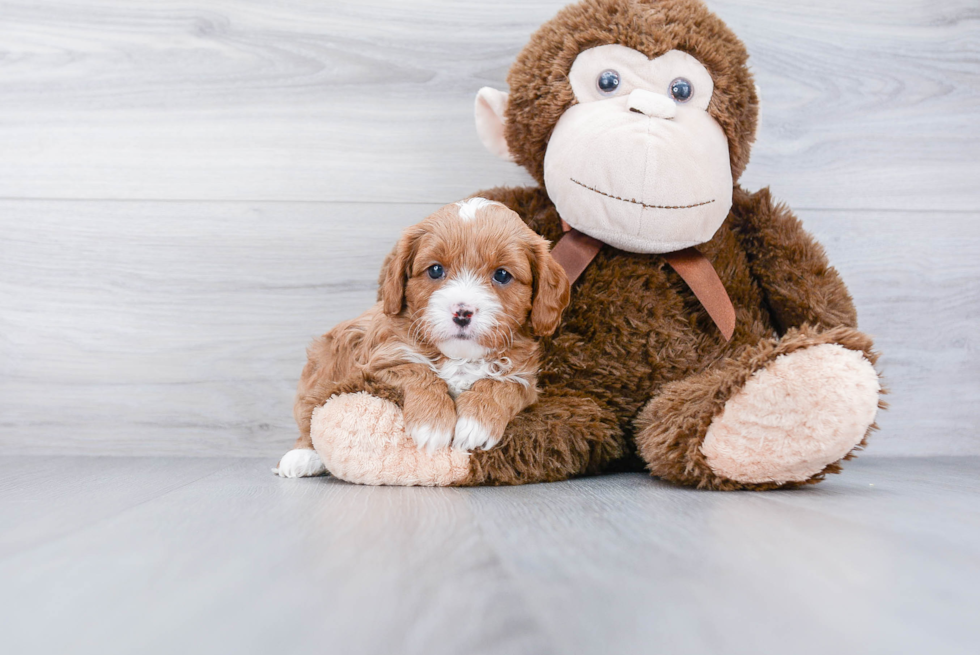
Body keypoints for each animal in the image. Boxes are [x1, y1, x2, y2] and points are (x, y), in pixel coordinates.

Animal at [272, 197, 572, 480]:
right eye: (436, 270)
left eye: (502, 274)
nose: (462, 312)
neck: (459, 357)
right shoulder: (380, 363)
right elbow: (419, 372)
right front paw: (432, 424)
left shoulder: (524, 378)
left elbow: (499, 385)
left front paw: (476, 423)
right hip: (324, 363)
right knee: (309, 413)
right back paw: (301, 457)